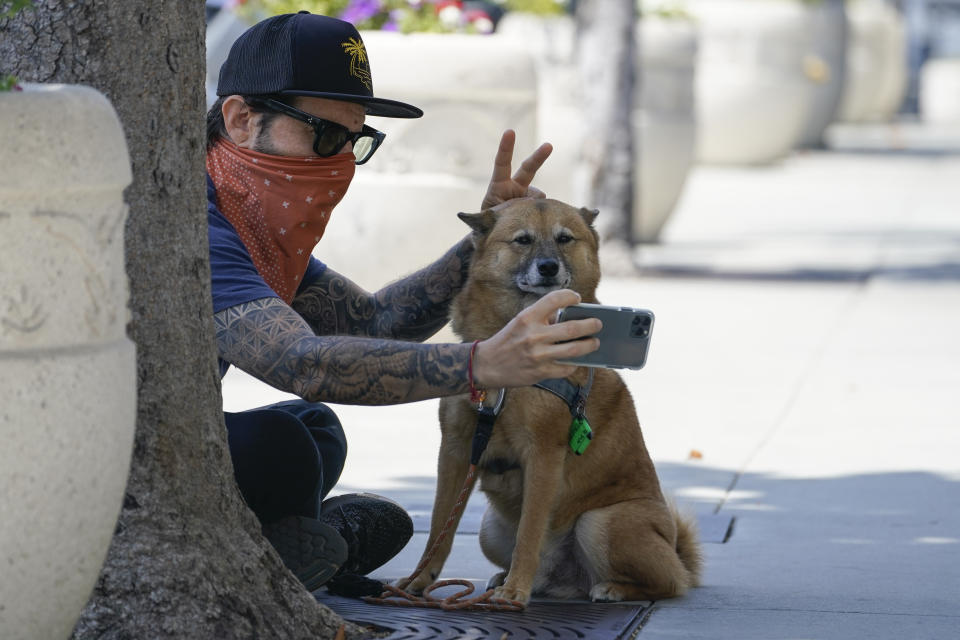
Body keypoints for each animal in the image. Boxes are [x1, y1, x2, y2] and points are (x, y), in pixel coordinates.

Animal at [404, 196, 696, 604]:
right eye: (523, 240)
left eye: (564, 239)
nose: (548, 267)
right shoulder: (457, 449)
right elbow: (438, 526)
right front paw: (418, 579)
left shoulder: (543, 454)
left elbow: (529, 531)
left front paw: (514, 593)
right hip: (490, 529)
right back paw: (509, 578)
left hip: (600, 521)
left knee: (668, 584)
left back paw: (611, 588)